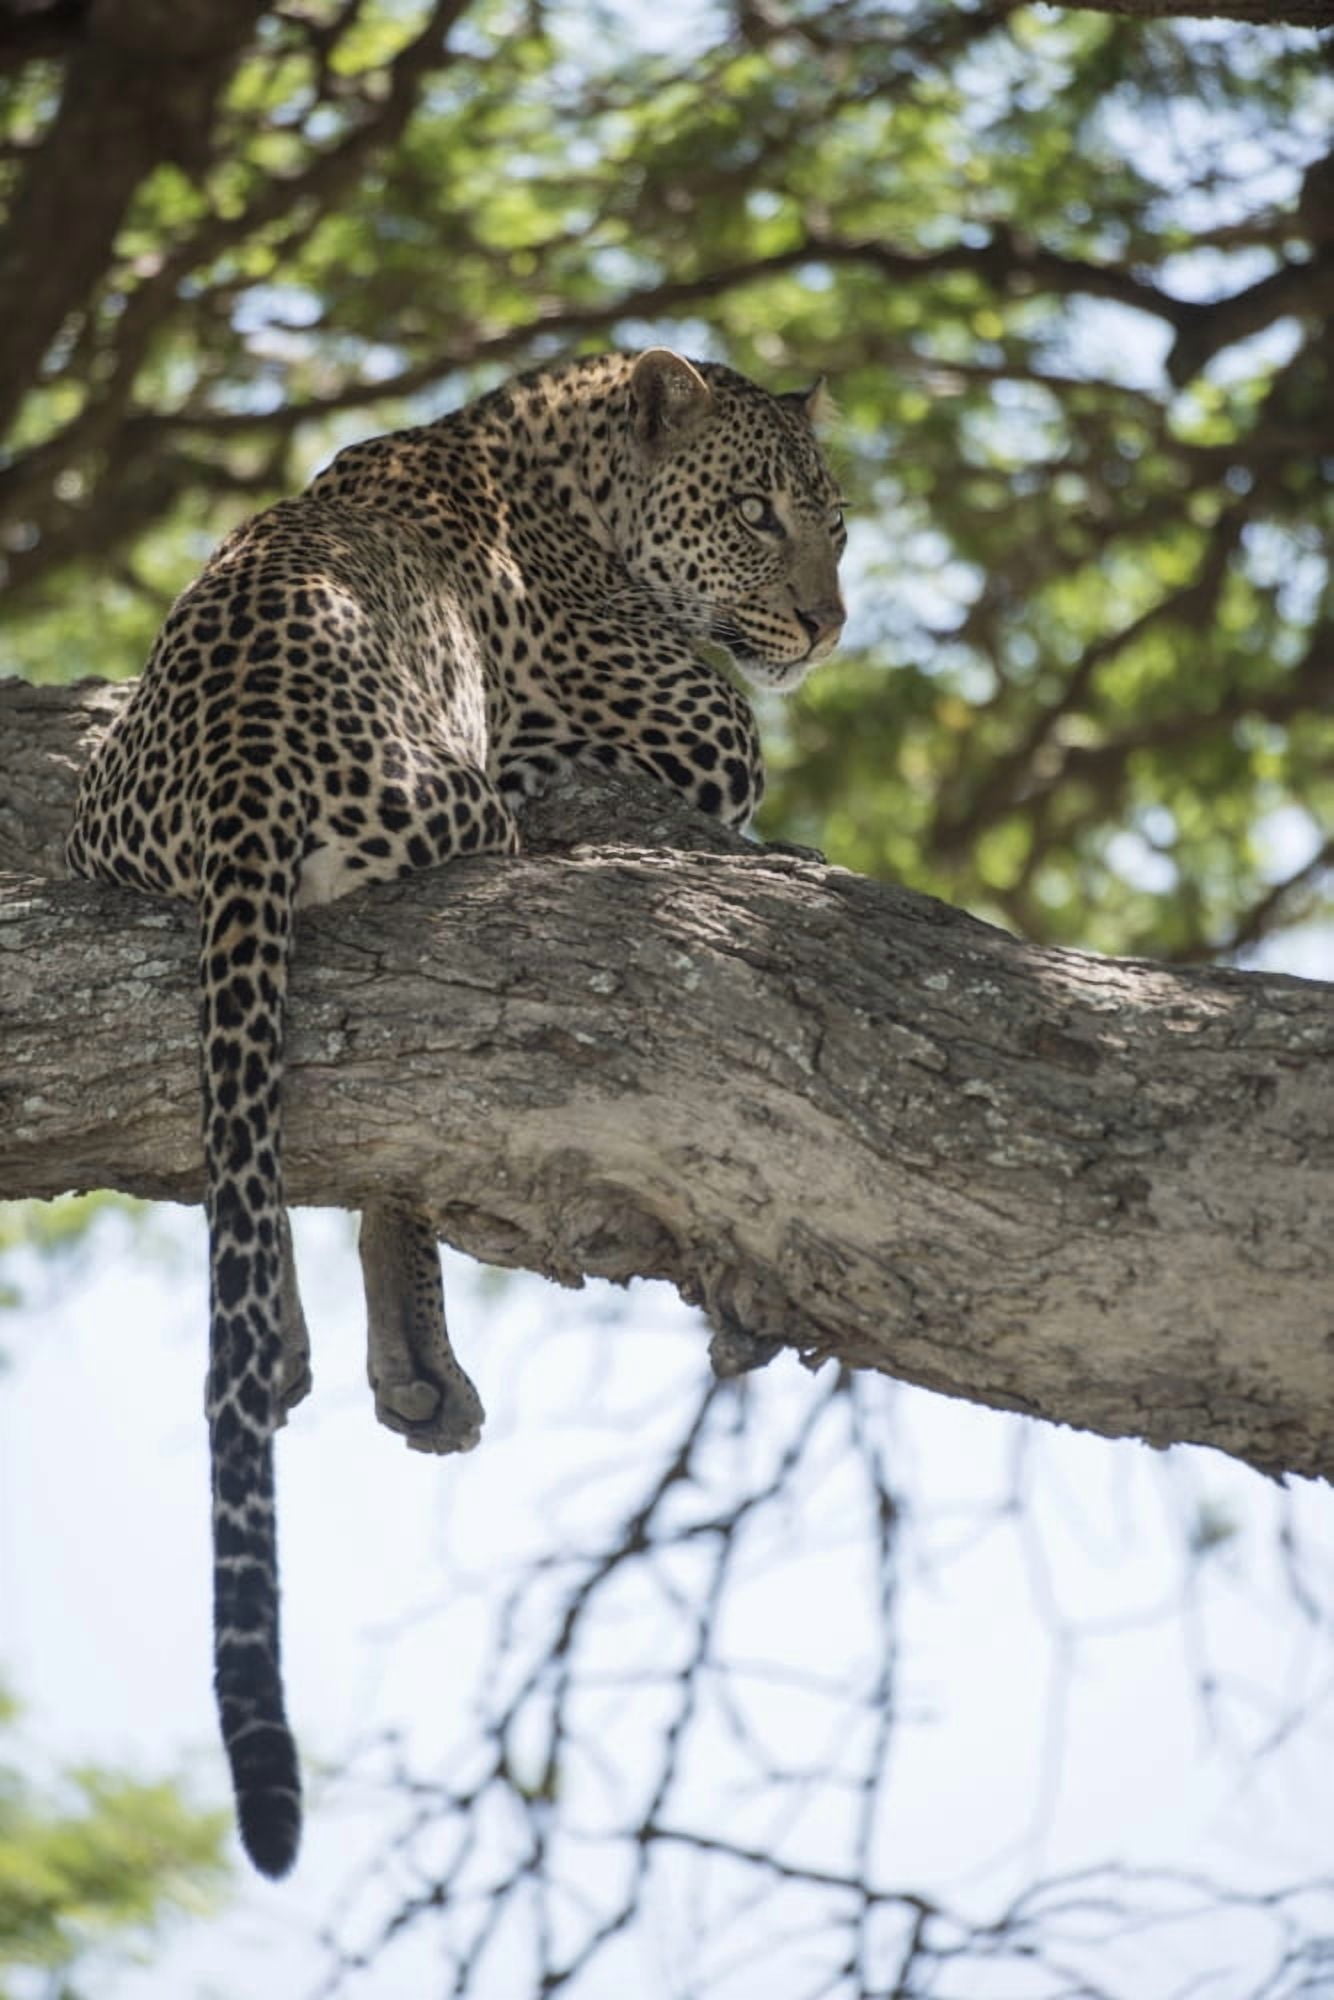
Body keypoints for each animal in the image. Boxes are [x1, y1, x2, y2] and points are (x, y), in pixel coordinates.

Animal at [65, 346, 846, 1880]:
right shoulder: (695, 748)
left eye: (836, 524)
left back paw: (304, 1345)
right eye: (759, 512)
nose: (826, 621)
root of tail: (242, 779)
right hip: (467, 820)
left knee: (283, 1115)